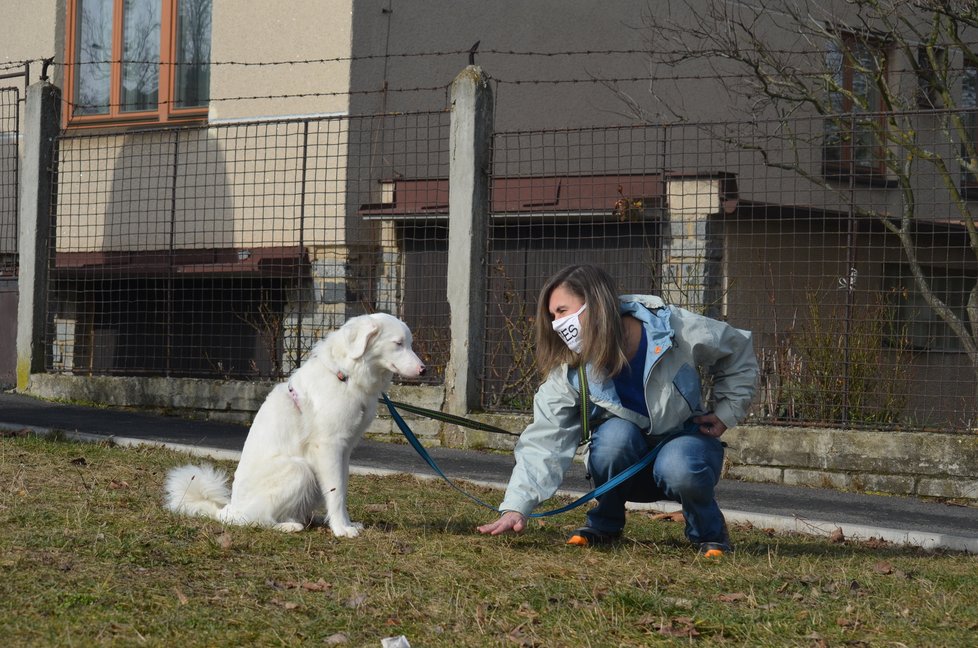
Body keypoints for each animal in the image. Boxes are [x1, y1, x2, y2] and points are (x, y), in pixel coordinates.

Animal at [163, 314, 424, 536]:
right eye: (398, 343)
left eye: (410, 343)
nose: (424, 369)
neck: (346, 375)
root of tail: (228, 511)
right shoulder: (329, 447)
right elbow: (337, 492)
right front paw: (341, 529)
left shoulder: (345, 450)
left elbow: (341, 489)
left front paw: (345, 523)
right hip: (300, 470)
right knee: (258, 520)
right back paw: (288, 526)